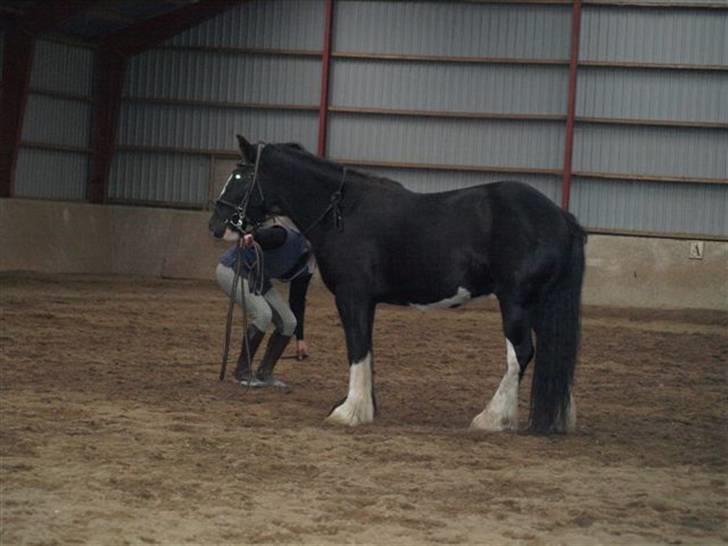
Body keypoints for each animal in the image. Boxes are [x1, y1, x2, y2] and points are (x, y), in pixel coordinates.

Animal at [208, 136, 584, 434]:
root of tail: (561, 217)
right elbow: (367, 350)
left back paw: (492, 418)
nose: (216, 224)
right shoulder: (366, 301)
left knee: (521, 353)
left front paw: (350, 412)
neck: (343, 212)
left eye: (240, 177)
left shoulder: (352, 297)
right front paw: (363, 405)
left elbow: (357, 349)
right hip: (540, 304)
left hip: (516, 302)